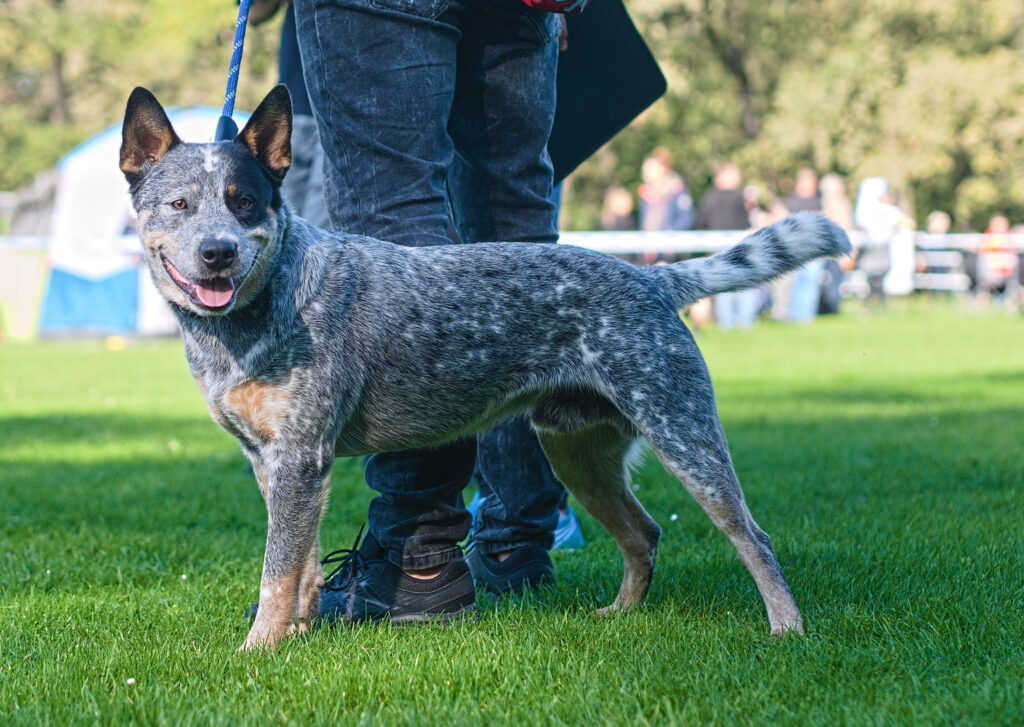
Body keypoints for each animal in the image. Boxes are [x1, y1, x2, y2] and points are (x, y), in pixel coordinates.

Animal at [119, 87, 851, 655]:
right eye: (180, 204)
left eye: (243, 201)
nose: (219, 252)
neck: (261, 310)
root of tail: (651, 277)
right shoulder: (275, 463)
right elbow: (297, 565)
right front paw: (297, 630)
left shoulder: (301, 457)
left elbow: (276, 570)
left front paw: (258, 649)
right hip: (577, 452)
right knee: (643, 532)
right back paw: (620, 613)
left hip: (684, 434)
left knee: (752, 535)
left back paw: (787, 628)